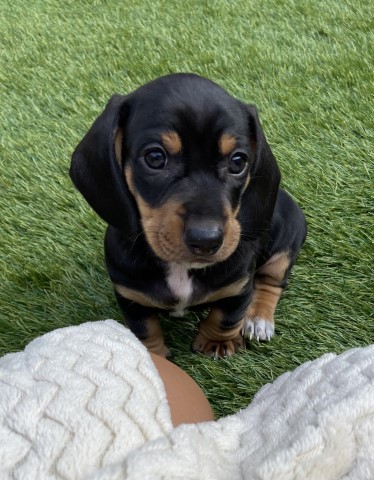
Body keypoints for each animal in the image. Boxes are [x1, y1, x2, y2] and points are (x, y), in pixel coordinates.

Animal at [71, 73, 306, 358]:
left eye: (238, 161)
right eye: (155, 157)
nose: (206, 240)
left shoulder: (239, 286)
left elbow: (226, 318)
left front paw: (219, 342)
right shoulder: (129, 295)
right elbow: (143, 330)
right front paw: (153, 355)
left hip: (287, 243)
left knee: (272, 282)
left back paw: (258, 319)